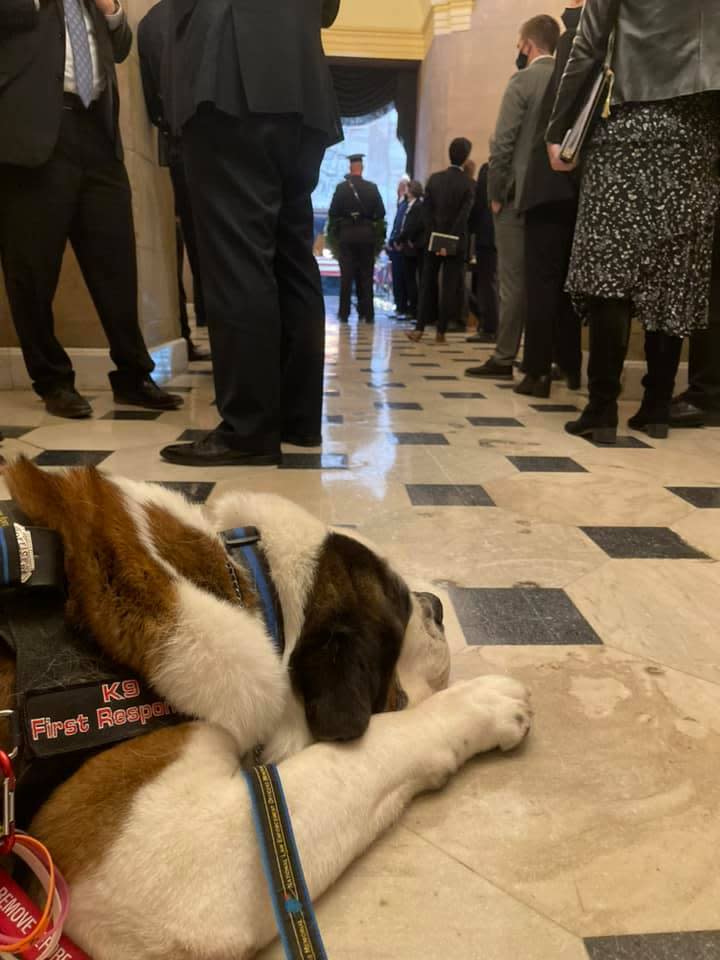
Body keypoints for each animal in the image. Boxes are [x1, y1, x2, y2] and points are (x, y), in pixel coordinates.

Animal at [0, 460, 528, 960]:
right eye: (399, 603)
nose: (436, 605)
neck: (235, 578)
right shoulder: (155, 859)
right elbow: (374, 749)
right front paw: (481, 704)